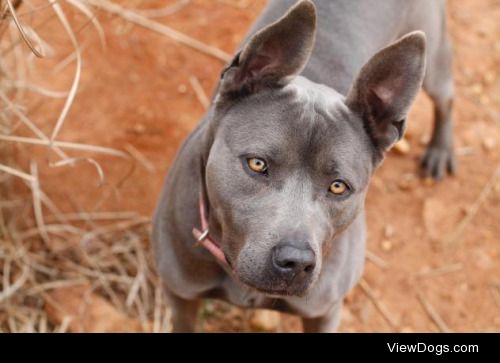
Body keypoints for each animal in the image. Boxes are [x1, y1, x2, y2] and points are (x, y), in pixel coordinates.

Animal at [152, 0, 454, 332]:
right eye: (257, 164)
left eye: (339, 186)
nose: (295, 261)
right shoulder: (180, 295)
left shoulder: (324, 312)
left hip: (434, 56)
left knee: (446, 97)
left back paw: (441, 150)